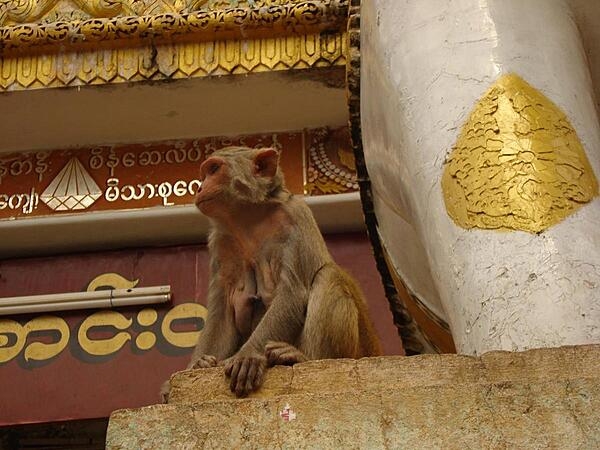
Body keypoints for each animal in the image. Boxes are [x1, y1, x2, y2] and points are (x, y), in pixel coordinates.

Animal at [162, 145, 382, 400]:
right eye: (205, 173)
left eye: (214, 169)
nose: (199, 187)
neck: (247, 220)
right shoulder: (220, 242)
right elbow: (224, 311)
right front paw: (199, 365)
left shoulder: (295, 215)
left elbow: (292, 293)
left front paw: (246, 356)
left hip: (359, 349)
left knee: (329, 276)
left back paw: (302, 357)